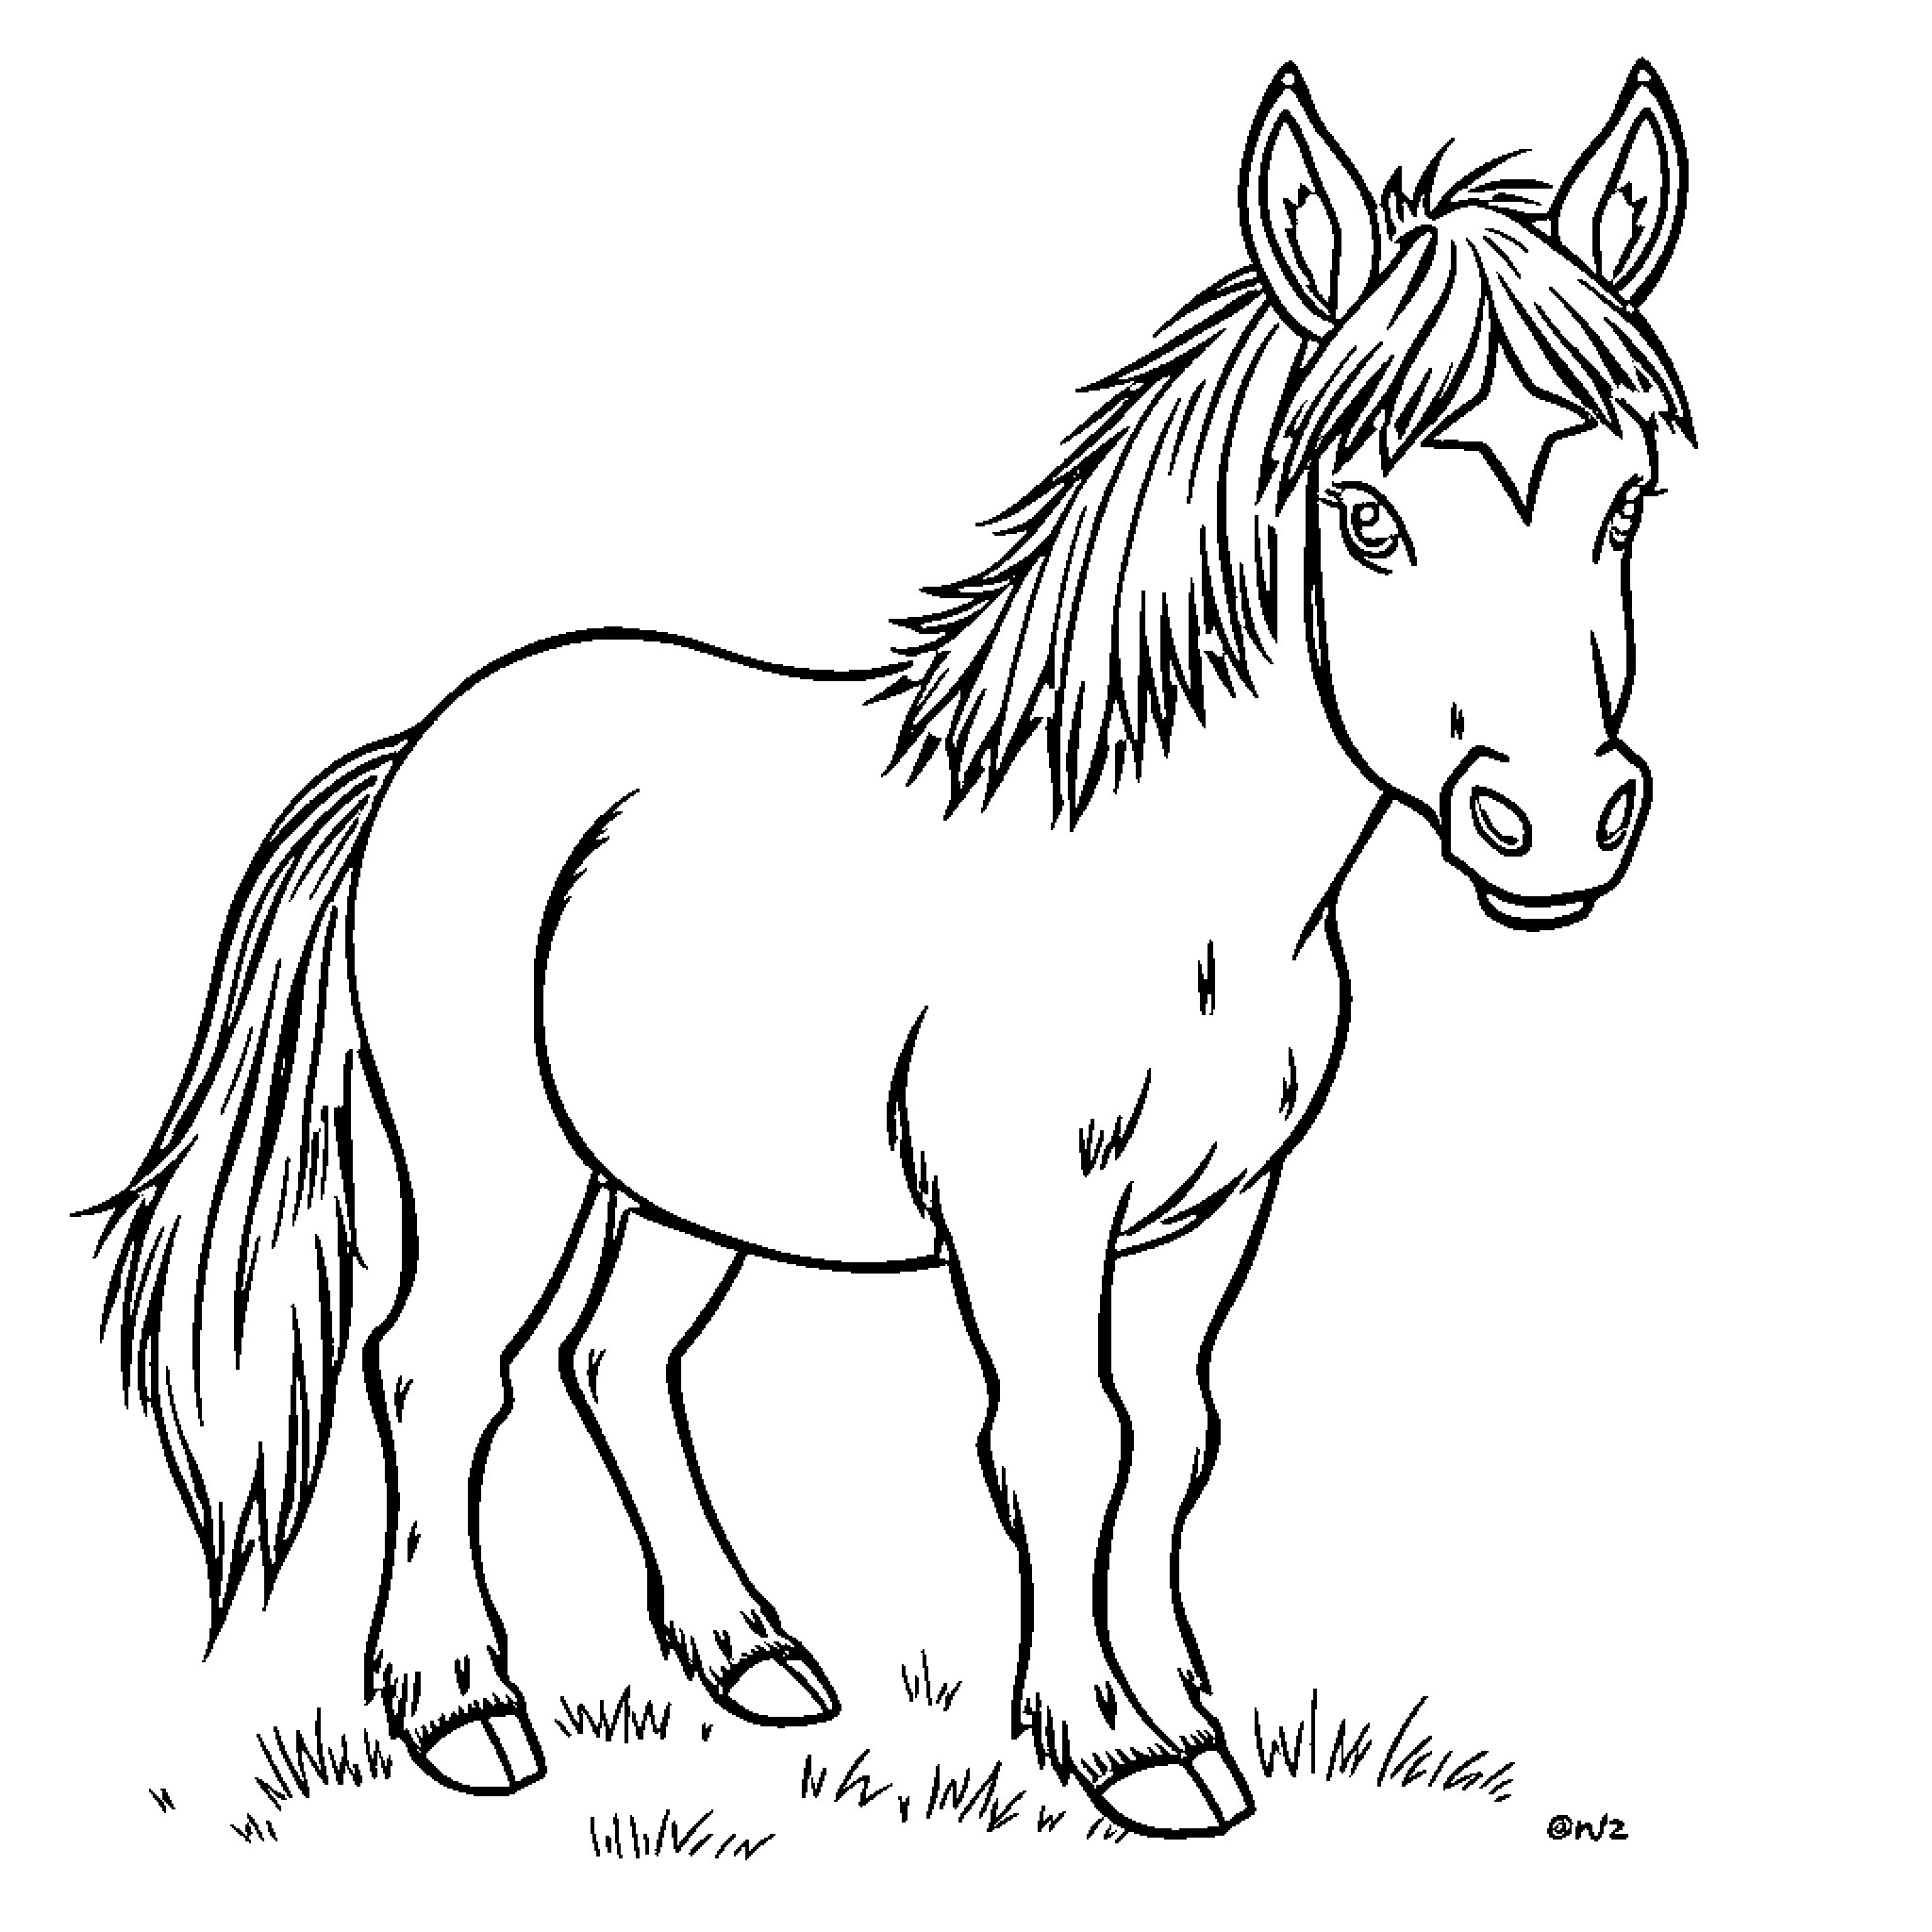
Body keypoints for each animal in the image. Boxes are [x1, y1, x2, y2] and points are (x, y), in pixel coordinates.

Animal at [89, 60, 1692, 1839]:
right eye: (1365, 518)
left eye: (1625, 504)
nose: (1557, 820)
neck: (1167, 880)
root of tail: (431, 742)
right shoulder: (1026, 1210)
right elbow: (1062, 1440)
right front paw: (1113, 1742)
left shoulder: (1212, 1213)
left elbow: (1172, 1442)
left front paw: (1190, 1706)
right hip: (502, 1163)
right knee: (440, 1368)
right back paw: (462, 1704)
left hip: (676, 1180)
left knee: (616, 1360)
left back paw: (750, 1654)